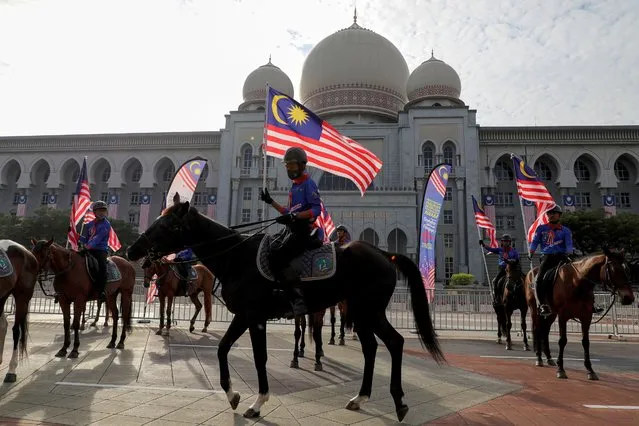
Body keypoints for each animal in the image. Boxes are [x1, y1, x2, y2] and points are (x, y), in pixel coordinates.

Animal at [126, 197, 444, 422]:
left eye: (166, 225)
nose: (132, 250)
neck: (237, 258)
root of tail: (386, 254)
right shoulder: (246, 316)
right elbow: (222, 348)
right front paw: (232, 394)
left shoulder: (254, 316)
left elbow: (259, 358)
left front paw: (257, 402)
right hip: (362, 311)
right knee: (373, 347)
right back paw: (361, 398)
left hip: (369, 309)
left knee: (395, 342)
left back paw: (399, 402)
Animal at [524, 246, 636, 380]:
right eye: (614, 270)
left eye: (627, 270)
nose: (629, 298)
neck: (577, 283)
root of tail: (530, 273)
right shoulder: (563, 316)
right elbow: (562, 341)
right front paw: (561, 369)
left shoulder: (586, 317)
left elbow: (585, 342)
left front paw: (590, 370)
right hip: (535, 310)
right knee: (537, 330)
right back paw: (539, 357)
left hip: (551, 314)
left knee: (544, 332)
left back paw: (549, 358)